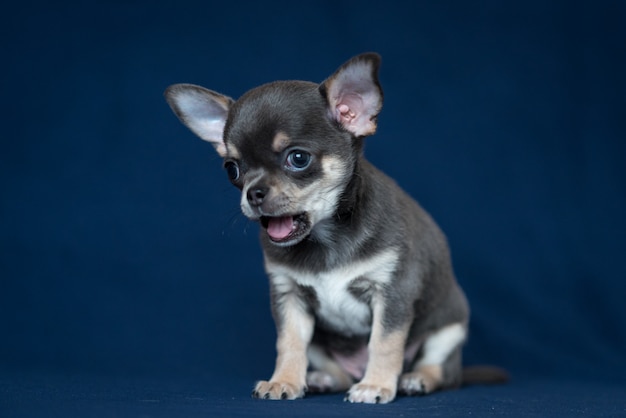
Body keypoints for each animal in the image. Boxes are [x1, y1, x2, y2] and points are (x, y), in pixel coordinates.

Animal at [163, 53, 494, 404]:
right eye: (232, 169)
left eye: (298, 158)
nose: (253, 193)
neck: (326, 237)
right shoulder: (290, 298)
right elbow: (290, 344)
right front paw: (284, 381)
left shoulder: (392, 293)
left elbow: (384, 342)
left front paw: (376, 385)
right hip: (322, 341)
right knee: (336, 369)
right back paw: (323, 379)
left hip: (449, 330)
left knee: (441, 371)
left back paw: (414, 379)